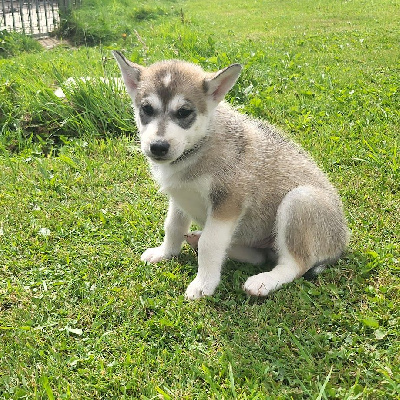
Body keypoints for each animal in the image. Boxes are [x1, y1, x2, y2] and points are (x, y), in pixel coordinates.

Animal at [113, 50, 350, 298]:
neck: (198, 148)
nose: (158, 147)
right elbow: (173, 227)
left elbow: (210, 244)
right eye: (147, 109)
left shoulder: (228, 202)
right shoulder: (180, 197)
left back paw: (264, 281)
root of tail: (341, 244)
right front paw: (165, 253)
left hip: (301, 200)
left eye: (184, 112)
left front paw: (203, 284)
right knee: (260, 257)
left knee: (295, 264)